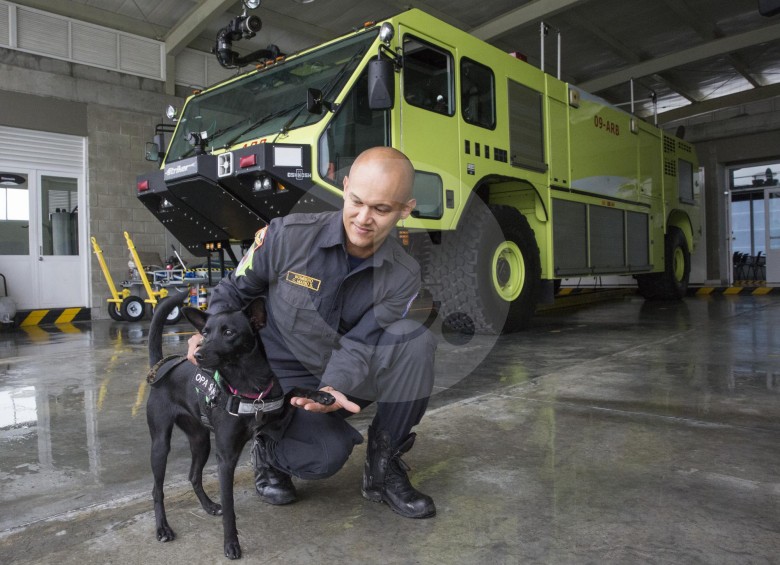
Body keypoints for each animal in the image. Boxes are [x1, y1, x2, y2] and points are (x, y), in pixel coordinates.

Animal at [146, 294, 332, 556]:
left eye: (228, 332)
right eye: (205, 332)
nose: (199, 355)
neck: (247, 382)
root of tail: (162, 366)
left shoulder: (275, 419)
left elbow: (293, 391)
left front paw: (320, 396)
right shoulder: (225, 458)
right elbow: (230, 506)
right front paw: (231, 544)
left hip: (200, 440)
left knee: (194, 475)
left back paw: (208, 506)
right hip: (161, 443)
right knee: (157, 489)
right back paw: (163, 528)